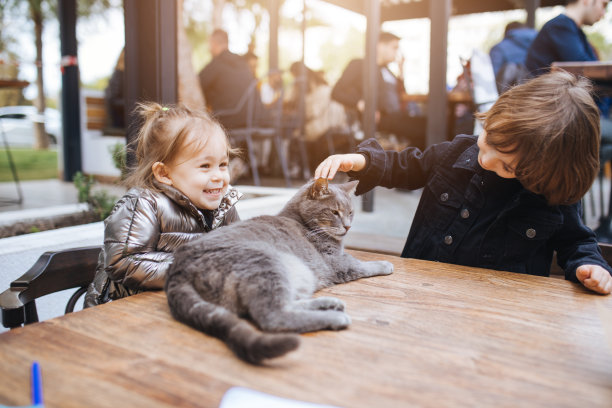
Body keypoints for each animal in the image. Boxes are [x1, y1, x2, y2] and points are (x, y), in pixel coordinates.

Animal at [164, 180, 392, 364]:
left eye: (351, 212)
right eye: (334, 212)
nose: (348, 226)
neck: (301, 220)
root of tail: (178, 269)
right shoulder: (337, 262)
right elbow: (363, 264)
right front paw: (385, 263)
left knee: (288, 304)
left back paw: (329, 304)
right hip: (265, 263)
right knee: (274, 316)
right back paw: (335, 318)